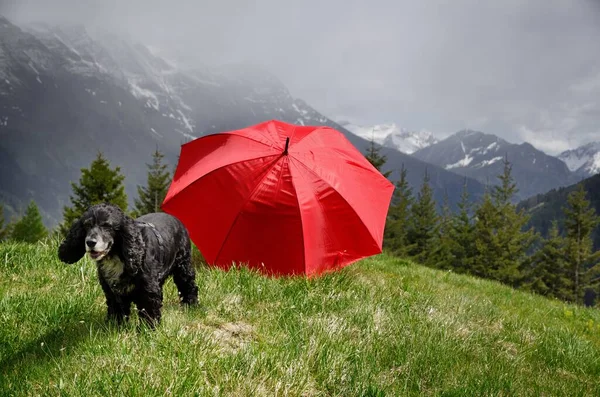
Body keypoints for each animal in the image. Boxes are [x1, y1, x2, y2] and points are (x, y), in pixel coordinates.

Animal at [58, 203, 199, 326]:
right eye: (87, 225)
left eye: (107, 226)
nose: (90, 242)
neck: (117, 255)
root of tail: (177, 220)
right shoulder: (112, 291)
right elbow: (116, 310)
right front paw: (114, 327)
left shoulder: (147, 289)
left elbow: (149, 310)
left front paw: (148, 329)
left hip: (183, 267)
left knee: (188, 285)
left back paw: (190, 305)